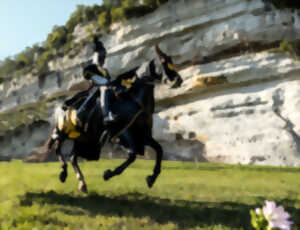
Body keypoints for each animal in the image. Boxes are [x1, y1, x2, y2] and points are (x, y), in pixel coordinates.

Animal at [47, 45, 183, 192]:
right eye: (163, 61)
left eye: (170, 60)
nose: (178, 80)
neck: (134, 102)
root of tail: (62, 107)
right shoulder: (121, 136)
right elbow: (132, 155)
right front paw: (108, 174)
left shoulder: (143, 136)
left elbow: (159, 150)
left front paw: (151, 178)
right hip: (64, 132)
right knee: (57, 146)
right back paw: (64, 173)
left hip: (83, 140)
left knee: (72, 157)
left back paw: (81, 183)